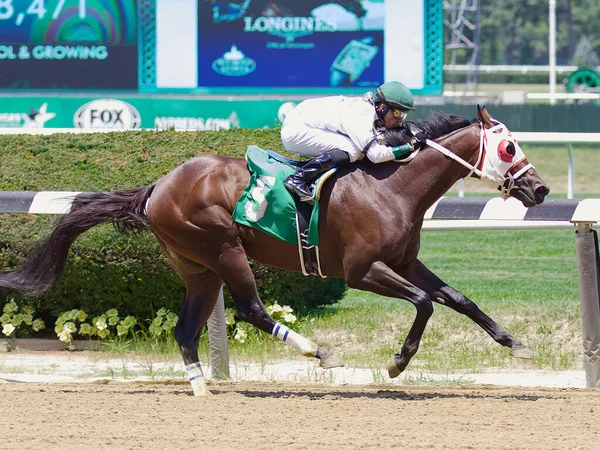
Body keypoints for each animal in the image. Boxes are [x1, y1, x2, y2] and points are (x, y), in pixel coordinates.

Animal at [0, 105, 548, 394]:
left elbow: (457, 298)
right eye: (509, 147)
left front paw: (515, 343)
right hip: (222, 247)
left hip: (197, 266)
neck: (392, 185)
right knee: (252, 309)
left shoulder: (403, 261)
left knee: (186, 328)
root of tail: (157, 187)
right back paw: (318, 352)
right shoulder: (360, 270)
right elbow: (425, 302)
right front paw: (397, 362)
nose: (539, 190)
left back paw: (201, 387)